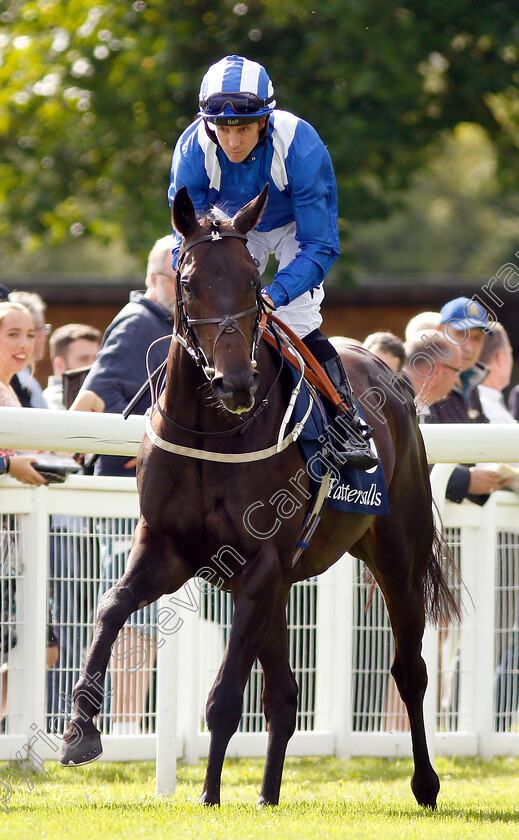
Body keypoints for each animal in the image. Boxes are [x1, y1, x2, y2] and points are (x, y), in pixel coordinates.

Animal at [61, 185, 458, 808]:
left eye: (253, 282)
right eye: (189, 282)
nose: (236, 384)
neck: (213, 430)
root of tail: (392, 377)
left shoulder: (259, 561)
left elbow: (225, 696)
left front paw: (208, 794)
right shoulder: (170, 548)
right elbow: (110, 607)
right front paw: (80, 731)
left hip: (397, 554)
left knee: (409, 670)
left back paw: (424, 783)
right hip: (285, 582)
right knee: (285, 695)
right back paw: (269, 796)